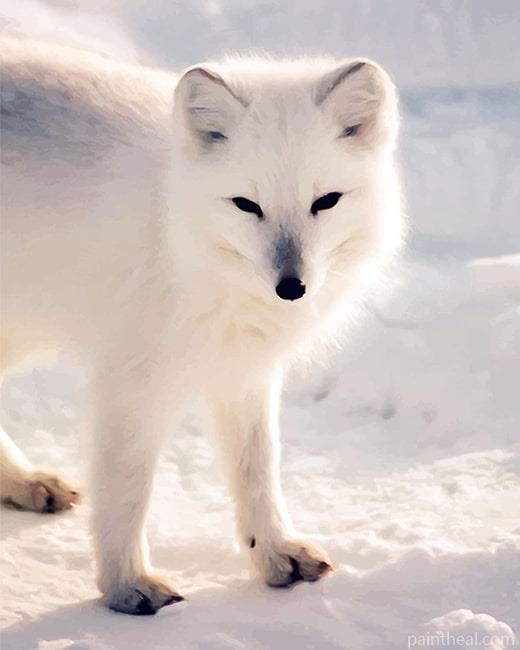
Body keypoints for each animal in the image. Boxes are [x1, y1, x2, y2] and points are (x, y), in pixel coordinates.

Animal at [0, 38, 403, 615]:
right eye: (246, 205)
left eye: (325, 202)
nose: (291, 287)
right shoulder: (131, 381)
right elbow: (127, 488)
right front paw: (127, 585)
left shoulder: (244, 372)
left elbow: (257, 468)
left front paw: (275, 553)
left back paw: (23, 481)